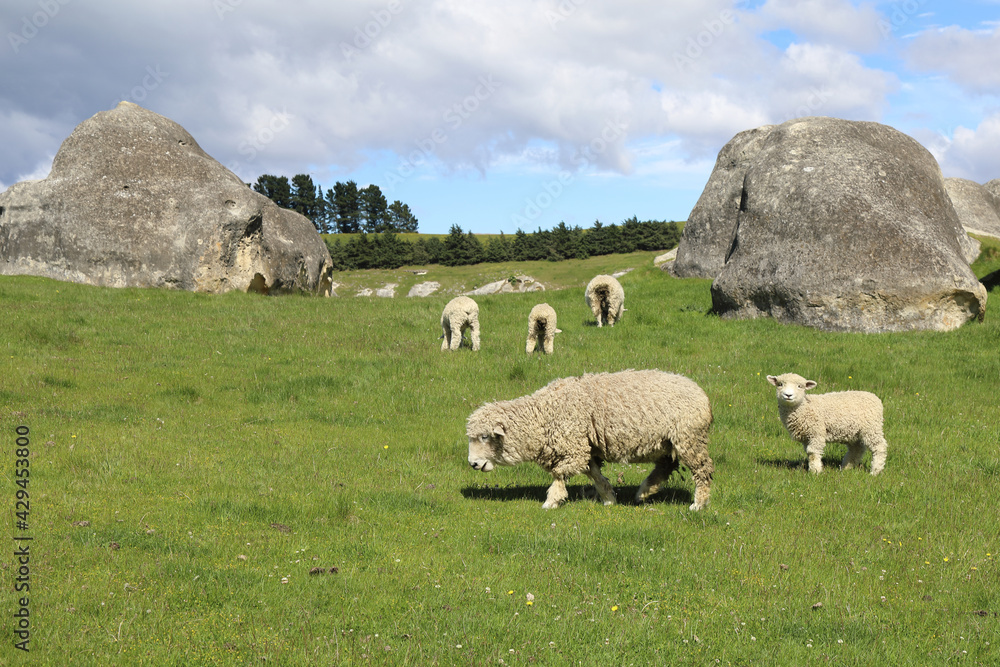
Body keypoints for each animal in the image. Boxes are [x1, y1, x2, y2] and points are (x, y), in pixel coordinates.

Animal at [467, 369, 714, 510]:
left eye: (485, 436)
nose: (473, 464)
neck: (542, 415)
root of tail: (702, 394)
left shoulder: (572, 446)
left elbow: (560, 474)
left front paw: (551, 502)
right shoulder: (584, 446)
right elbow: (593, 472)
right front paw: (609, 498)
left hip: (689, 438)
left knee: (702, 471)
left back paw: (698, 504)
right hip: (668, 442)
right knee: (666, 465)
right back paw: (643, 492)